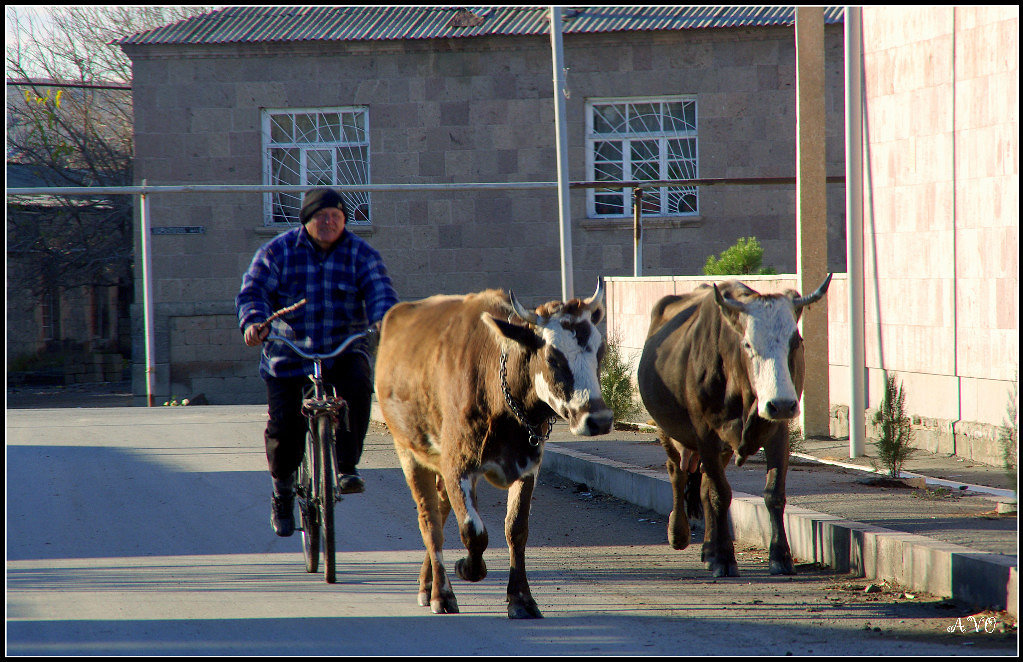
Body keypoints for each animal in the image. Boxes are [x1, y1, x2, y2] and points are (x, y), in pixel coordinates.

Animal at [376, 282, 613, 618]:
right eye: (553, 357)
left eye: (600, 351)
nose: (600, 420)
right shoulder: (458, 466)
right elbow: (473, 531)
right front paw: (467, 568)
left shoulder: (528, 467)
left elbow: (516, 529)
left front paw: (522, 598)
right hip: (408, 450)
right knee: (430, 522)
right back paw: (440, 593)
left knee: (440, 511)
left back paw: (427, 584)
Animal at [638, 274, 830, 572]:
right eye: (747, 344)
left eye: (796, 341)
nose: (781, 404)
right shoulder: (705, 433)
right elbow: (721, 493)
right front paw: (725, 559)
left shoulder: (777, 430)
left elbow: (773, 493)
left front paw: (780, 556)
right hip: (668, 431)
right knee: (677, 473)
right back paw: (679, 534)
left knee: (703, 487)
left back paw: (709, 549)